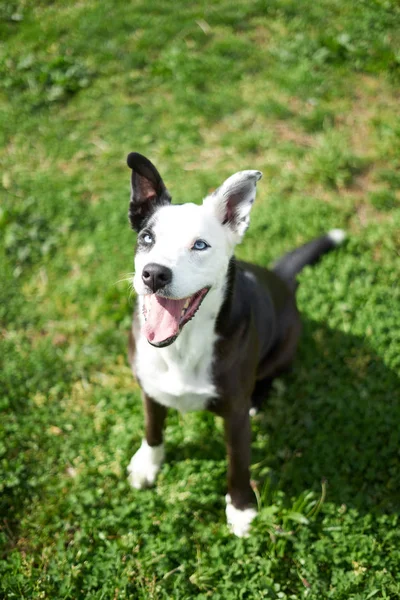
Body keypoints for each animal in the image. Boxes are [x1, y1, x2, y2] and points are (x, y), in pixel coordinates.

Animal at [125, 152, 344, 536]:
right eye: (147, 237)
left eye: (200, 245)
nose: (153, 274)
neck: (182, 346)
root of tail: (281, 279)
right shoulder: (151, 389)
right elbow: (153, 430)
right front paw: (147, 465)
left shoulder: (235, 417)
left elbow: (238, 465)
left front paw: (241, 509)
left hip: (284, 347)